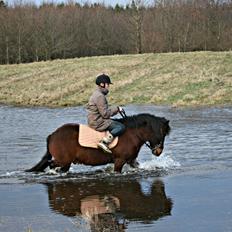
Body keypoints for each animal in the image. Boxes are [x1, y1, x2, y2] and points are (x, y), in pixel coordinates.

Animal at [26, 113, 171, 173]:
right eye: (162, 133)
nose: (158, 152)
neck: (132, 134)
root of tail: (52, 135)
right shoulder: (120, 161)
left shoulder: (131, 161)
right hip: (63, 160)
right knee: (51, 165)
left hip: (65, 162)